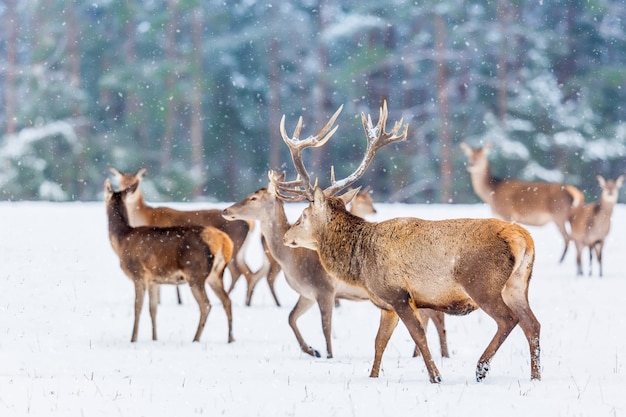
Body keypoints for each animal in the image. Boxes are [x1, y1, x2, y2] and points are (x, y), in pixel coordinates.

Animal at [105, 178, 234, 342]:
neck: (121, 241)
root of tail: (224, 241)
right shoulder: (153, 280)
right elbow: (153, 308)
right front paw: (154, 338)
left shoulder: (138, 274)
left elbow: (137, 307)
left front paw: (133, 339)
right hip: (215, 274)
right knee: (227, 300)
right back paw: (230, 338)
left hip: (196, 272)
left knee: (206, 305)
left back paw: (195, 338)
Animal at [108, 166, 280, 306]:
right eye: (121, 182)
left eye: (135, 182)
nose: (128, 193)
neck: (146, 216)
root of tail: (250, 223)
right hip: (240, 250)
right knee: (248, 272)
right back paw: (247, 301)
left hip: (235, 246)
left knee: (238, 272)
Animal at [270, 100, 540, 380]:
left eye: (303, 215)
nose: (286, 235)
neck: (359, 261)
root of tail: (523, 238)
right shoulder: (386, 304)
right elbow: (379, 342)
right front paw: (373, 377)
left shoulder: (398, 293)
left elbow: (418, 336)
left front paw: (436, 376)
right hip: (517, 284)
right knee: (533, 324)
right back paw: (535, 376)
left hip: (481, 282)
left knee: (508, 319)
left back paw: (481, 368)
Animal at [456, 141, 584, 262]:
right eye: (469, 155)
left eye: (482, 155)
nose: (471, 164)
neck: (491, 194)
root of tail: (575, 193)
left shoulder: (507, 214)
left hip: (559, 214)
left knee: (567, 238)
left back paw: (559, 262)